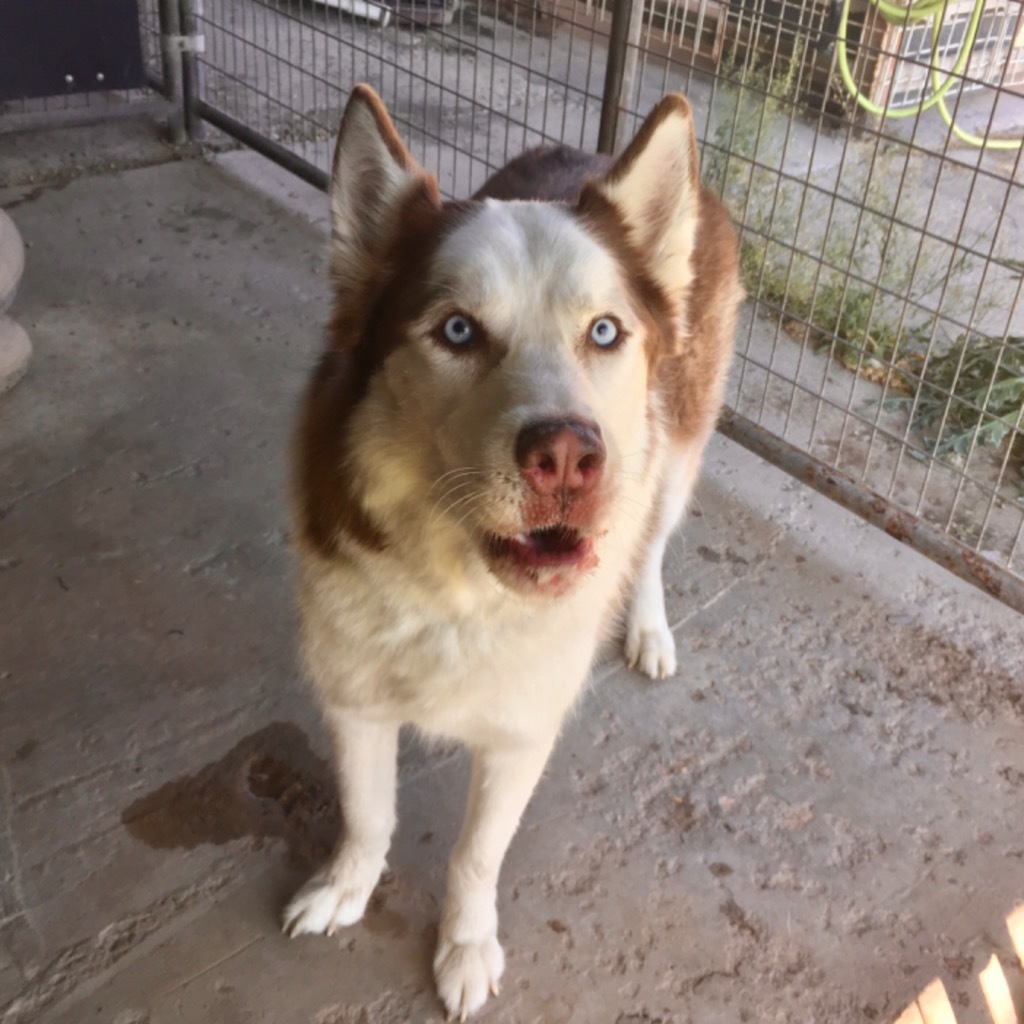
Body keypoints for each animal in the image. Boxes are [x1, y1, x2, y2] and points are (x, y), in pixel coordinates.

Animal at [284, 86, 741, 1015]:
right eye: (458, 330)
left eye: (603, 332)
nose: (567, 457)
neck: (456, 595)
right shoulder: (352, 696)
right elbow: (368, 813)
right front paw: (347, 886)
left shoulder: (521, 733)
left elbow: (474, 857)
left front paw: (464, 949)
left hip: (675, 455)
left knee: (652, 542)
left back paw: (647, 627)